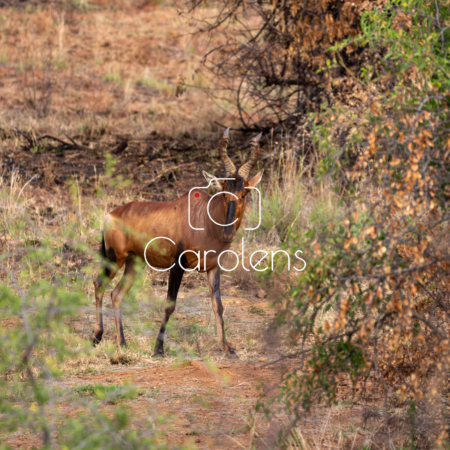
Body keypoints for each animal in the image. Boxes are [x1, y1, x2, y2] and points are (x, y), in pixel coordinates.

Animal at [93, 128, 266, 356]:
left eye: (244, 193)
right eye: (223, 193)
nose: (228, 234)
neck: (204, 217)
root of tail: (110, 215)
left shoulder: (214, 268)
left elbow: (218, 305)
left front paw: (227, 347)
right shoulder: (178, 264)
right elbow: (170, 304)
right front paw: (158, 349)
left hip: (134, 263)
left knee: (116, 294)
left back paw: (121, 342)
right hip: (114, 258)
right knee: (99, 284)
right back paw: (97, 336)